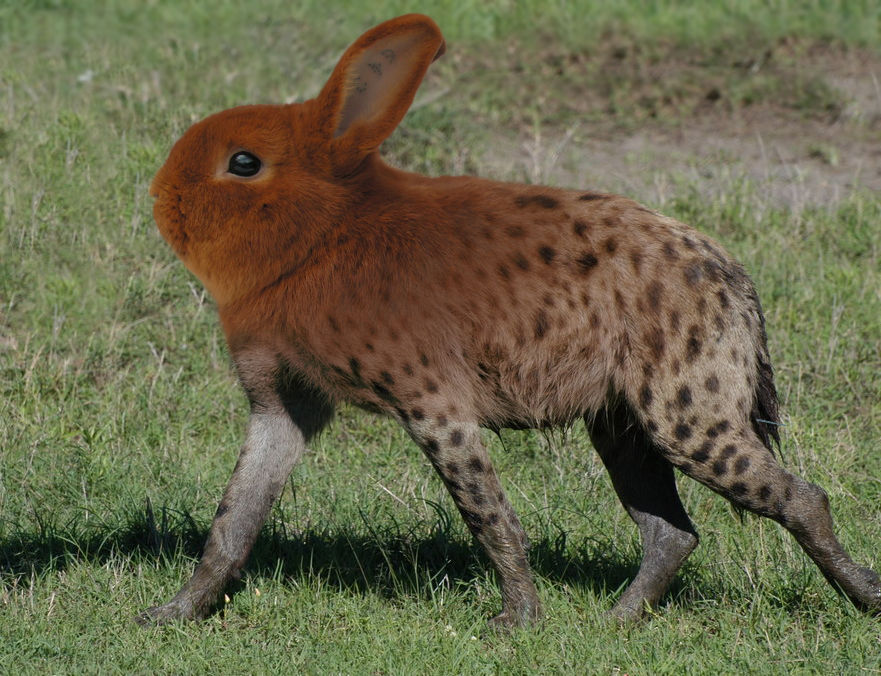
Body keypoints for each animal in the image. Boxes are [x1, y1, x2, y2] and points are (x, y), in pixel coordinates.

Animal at [142, 13, 881, 628]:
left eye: (242, 162)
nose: (157, 190)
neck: (315, 251)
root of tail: (733, 271)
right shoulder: (284, 400)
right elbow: (233, 516)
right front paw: (176, 611)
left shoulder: (432, 399)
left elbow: (488, 513)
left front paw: (517, 618)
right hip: (622, 420)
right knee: (672, 529)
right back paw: (617, 620)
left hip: (685, 411)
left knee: (801, 497)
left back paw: (863, 595)